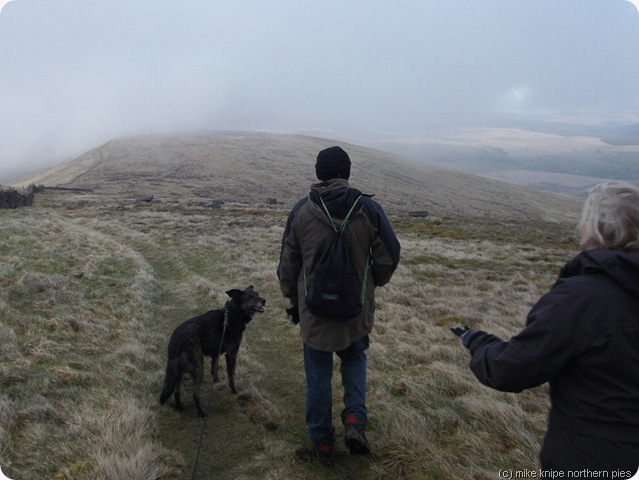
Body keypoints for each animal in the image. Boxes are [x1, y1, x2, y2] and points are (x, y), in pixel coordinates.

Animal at [159, 284, 264, 416]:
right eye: (249, 297)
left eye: (257, 294)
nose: (264, 300)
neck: (233, 314)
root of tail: (176, 339)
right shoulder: (231, 353)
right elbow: (232, 376)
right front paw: (235, 391)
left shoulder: (216, 352)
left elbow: (214, 367)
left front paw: (216, 380)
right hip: (198, 366)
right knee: (195, 393)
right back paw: (201, 412)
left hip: (179, 370)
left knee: (176, 390)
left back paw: (179, 406)